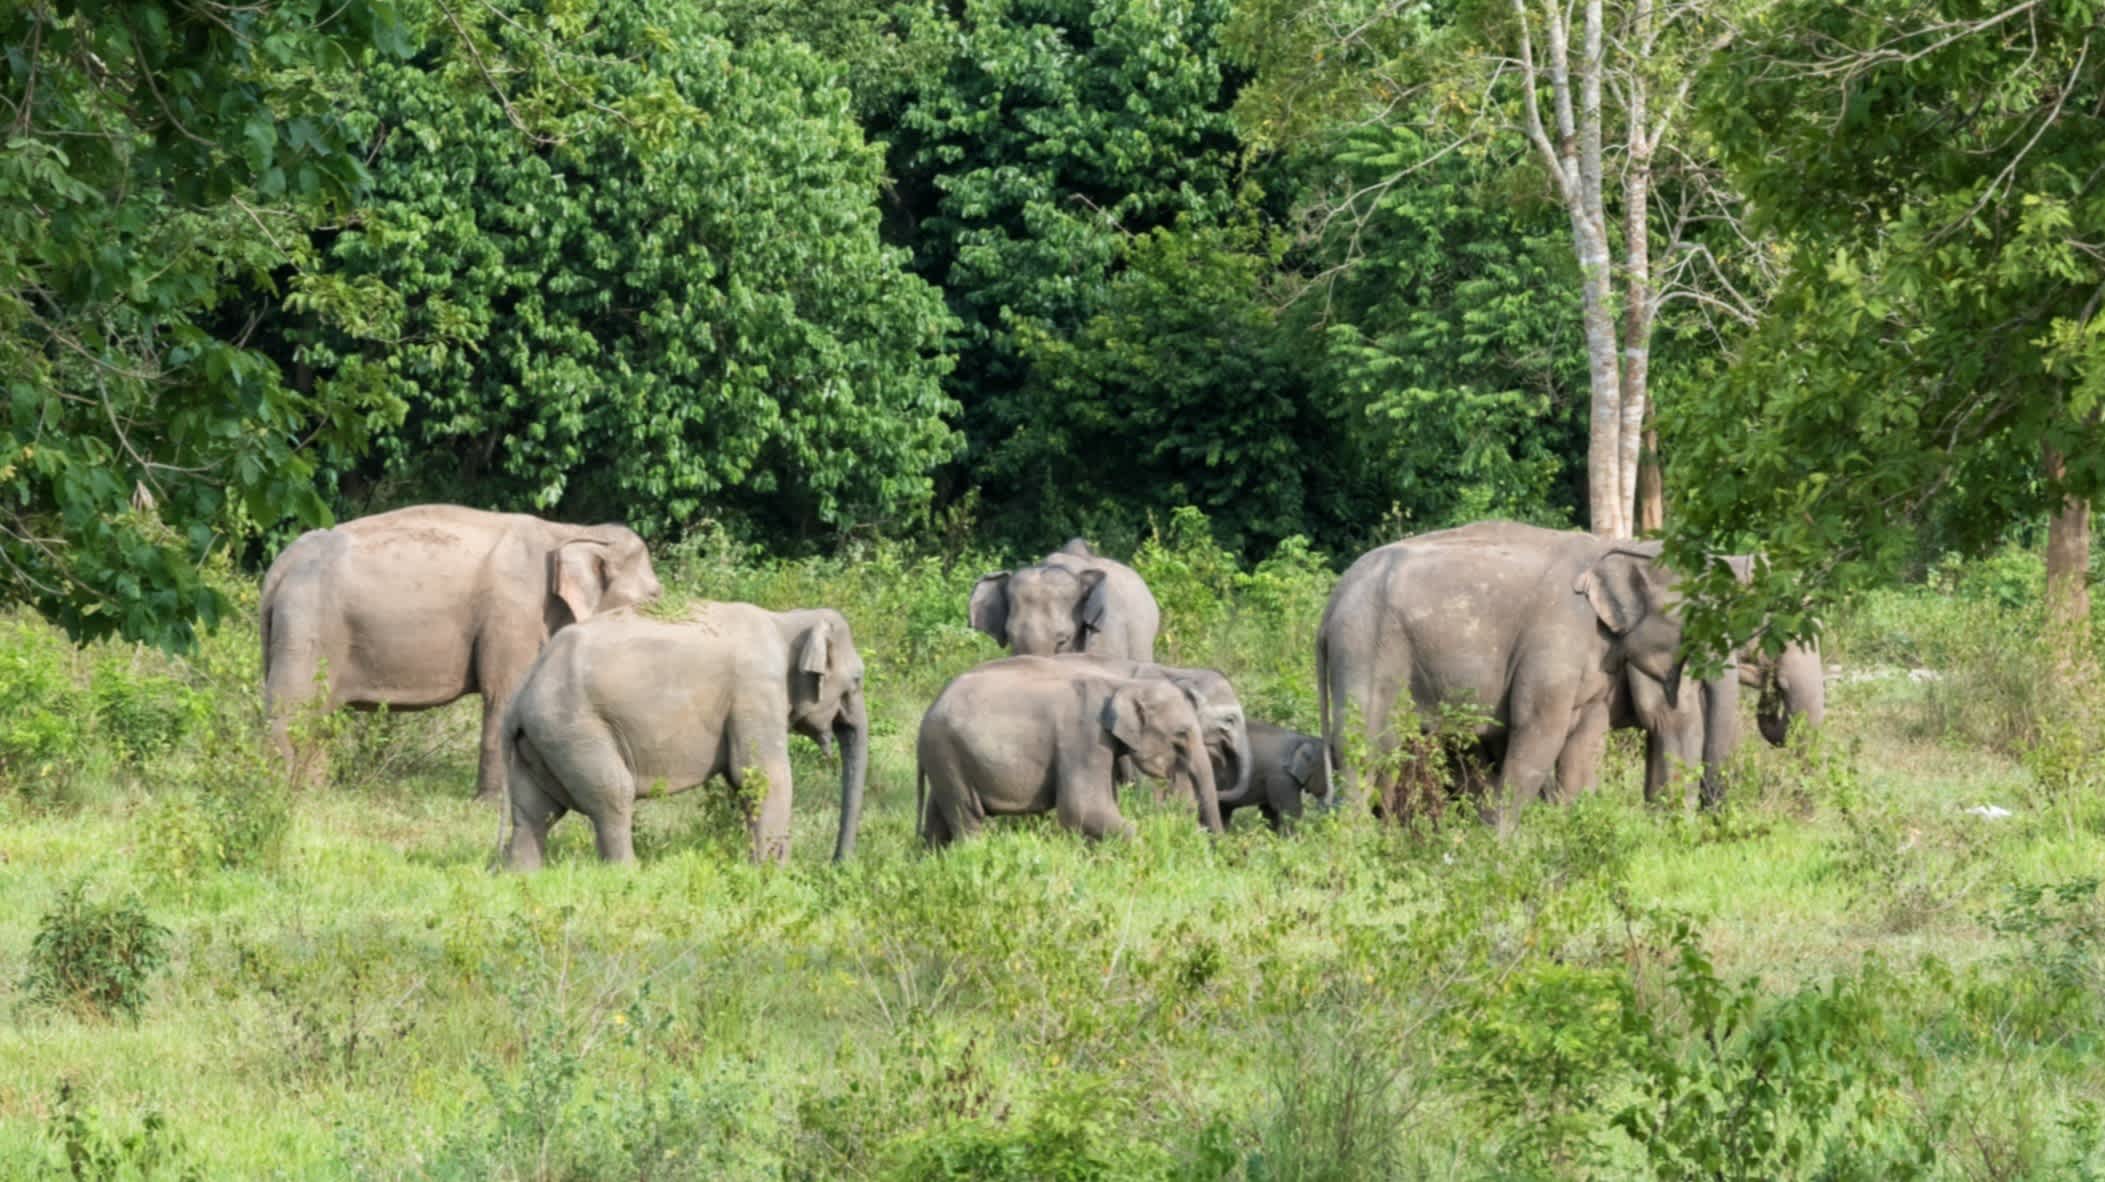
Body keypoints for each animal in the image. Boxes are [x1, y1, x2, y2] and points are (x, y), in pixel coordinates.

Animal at [261, 500, 656, 795]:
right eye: (654, 596)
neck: (571, 532)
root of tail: (282, 564)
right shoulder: (512, 613)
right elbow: (505, 695)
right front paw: (492, 803)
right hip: (307, 623)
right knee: (292, 710)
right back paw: (276, 793)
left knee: (317, 717)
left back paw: (313, 791)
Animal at [496, 597, 867, 866]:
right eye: (857, 680)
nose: (836, 865)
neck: (786, 621)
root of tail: (523, 691)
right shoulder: (757, 690)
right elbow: (763, 777)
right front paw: (773, 875)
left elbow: (746, 781)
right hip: (574, 729)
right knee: (613, 797)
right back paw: (627, 874)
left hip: (541, 740)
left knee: (534, 813)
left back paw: (523, 875)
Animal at [913, 656, 1229, 841]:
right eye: (1181, 735)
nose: (1216, 846)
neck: (1122, 684)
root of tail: (928, 713)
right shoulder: (1085, 738)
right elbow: (1082, 808)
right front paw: (1143, 848)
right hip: (946, 750)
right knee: (968, 817)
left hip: (945, 757)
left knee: (939, 815)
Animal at [1313, 519, 1742, 824]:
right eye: (1702, 616)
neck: (1626, 549)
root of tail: (1332, 602)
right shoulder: (1557, 637)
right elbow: (1539, 730)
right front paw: (1498, 849)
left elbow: (1585, 742)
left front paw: (1569, 832)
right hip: (1364, 645)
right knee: (1362, 747)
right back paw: (1356, 843)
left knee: (1386, 750)